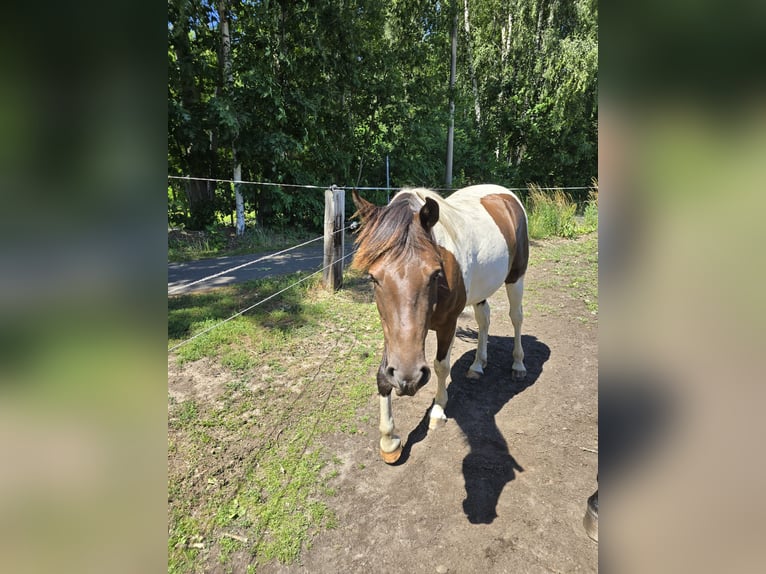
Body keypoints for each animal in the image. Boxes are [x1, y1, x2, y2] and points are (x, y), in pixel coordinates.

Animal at [351, 184, 529, 464]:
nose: (408, 378)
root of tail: (504, 194)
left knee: (516, 317)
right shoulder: (391, 333)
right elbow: (382, 375)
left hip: (516, 277)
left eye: (435, 274)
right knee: (484, 319)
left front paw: (437, 411)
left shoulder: (448, 324)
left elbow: (440, 366)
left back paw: (518, 364)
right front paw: (389, 440)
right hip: (481, 292)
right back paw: (478, 365)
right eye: (373, 277)